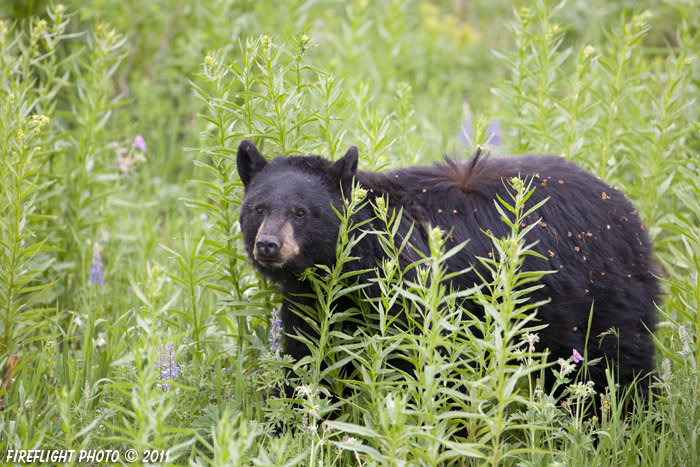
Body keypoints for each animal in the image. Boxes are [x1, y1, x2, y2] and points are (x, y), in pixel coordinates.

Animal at [238, 139, 660, 398]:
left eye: (300, 212)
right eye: (258, 208)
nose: (269, 245)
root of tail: (628, 211)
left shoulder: (414, 293)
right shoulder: (312, 299)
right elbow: (308, 356)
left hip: (601, 295)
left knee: (619, 365)